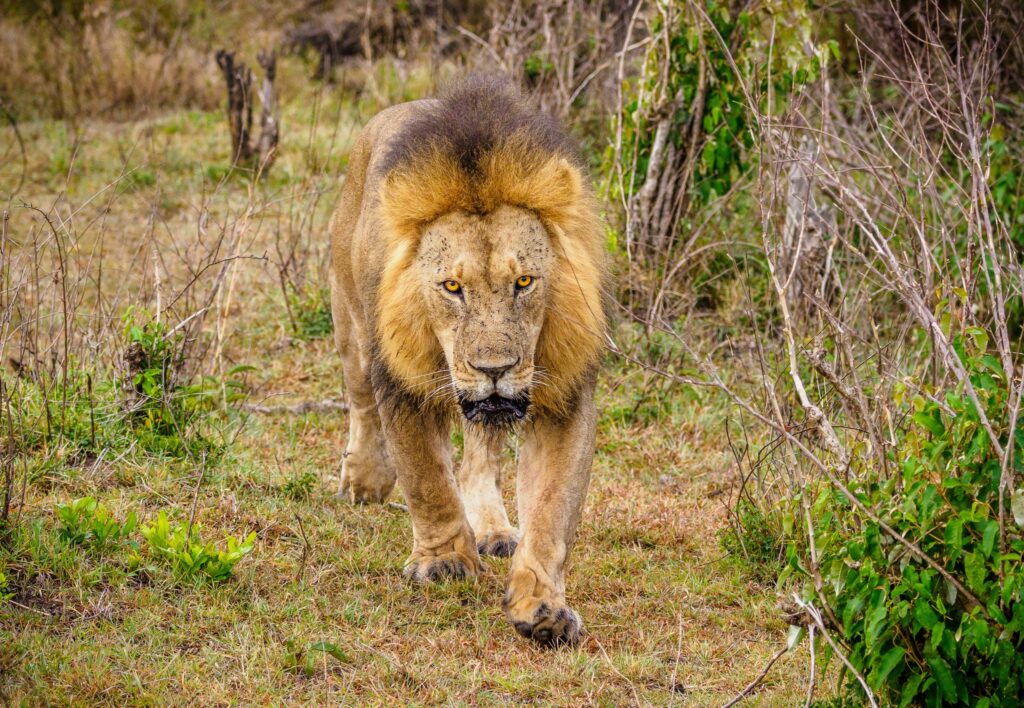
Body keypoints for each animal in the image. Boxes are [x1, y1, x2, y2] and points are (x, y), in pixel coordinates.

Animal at [327, 77, 602, 647]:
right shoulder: (401, 383)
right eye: (452, 287)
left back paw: (493, 529)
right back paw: (364, 480)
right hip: (349, 323)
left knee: (479, 456)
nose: (494, 369)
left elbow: (552, 510)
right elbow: (426, 478)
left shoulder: (564, 397)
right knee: (360, 403)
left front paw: (543, 607)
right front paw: (445, 564)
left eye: (524, 282)